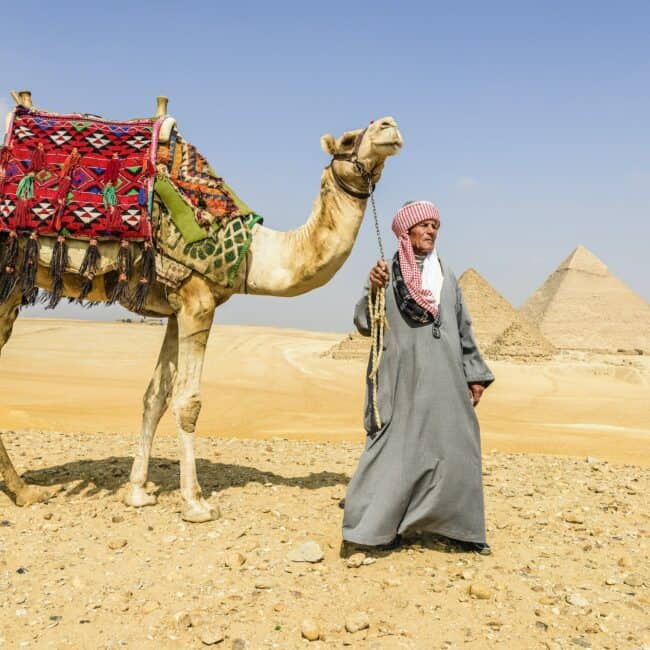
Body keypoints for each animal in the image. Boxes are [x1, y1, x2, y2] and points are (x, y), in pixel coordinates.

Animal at [0, 91, 400, 520]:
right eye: (349, 139)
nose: (389, 125)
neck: (250, 254)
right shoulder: (198, 299)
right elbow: (187, 401)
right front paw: (194, 501)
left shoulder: (177, 308)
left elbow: (155, 396)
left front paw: (137, 491)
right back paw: (25, 491)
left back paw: (25, 491)